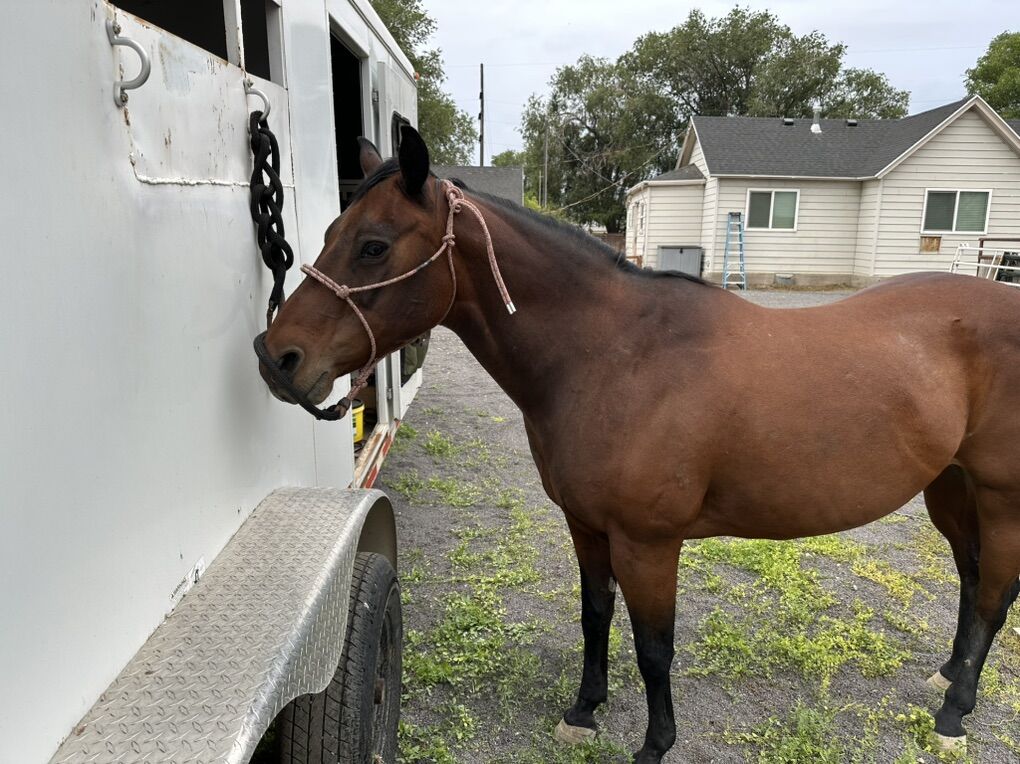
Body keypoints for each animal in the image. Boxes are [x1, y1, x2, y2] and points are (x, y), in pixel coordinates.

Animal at [256, 126, 1020, 762]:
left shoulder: (649, 542)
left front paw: (654, 745)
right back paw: (948, 677)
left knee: (994, 593)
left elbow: (654, 648)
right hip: (949, 487)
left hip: (998, 496)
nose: (276, 357)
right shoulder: (587, 525)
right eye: (332, 231)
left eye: (375, 245)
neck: (613, 356)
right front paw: (583, 711)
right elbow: (595, 616)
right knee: (973, 579)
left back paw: (955, 714)